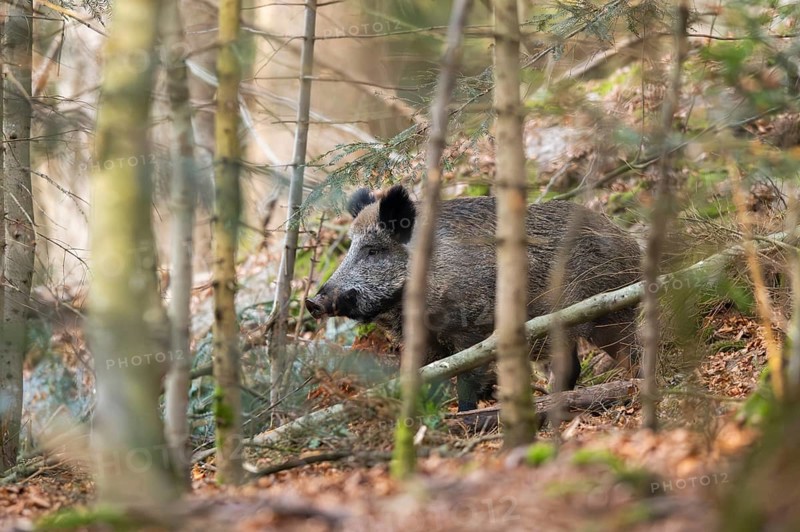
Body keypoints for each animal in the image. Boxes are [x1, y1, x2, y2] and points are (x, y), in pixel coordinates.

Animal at [306, 185, 641, 411]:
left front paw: (465, 414)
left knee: (633, 350)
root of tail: (630, 241)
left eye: (373, 250)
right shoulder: (427, 343)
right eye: (350, 246)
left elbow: (468, 380)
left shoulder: (472, 332)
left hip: (610, 313)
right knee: (571, 367)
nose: (312, 302)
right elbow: (428, 377)